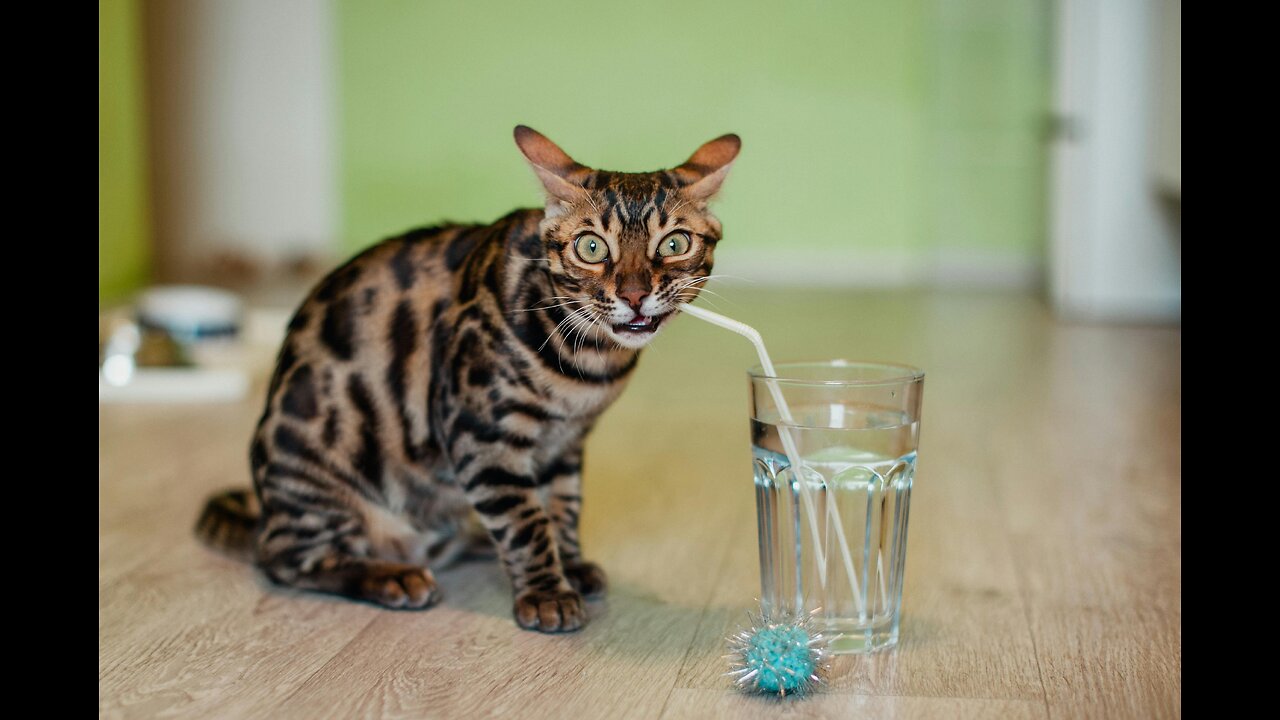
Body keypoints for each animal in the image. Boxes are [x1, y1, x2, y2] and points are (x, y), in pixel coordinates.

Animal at [197, 126, 742, 630]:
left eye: (674, 243)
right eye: (591, 247)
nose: (633, 295)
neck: (588, 364)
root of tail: (265, 511)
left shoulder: (565, 444)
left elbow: (562, 507)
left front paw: (568, 563)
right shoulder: (482, 433)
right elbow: (525, 522)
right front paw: (546, 593)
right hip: (317, 476)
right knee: (284, 559)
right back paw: (389, 576)